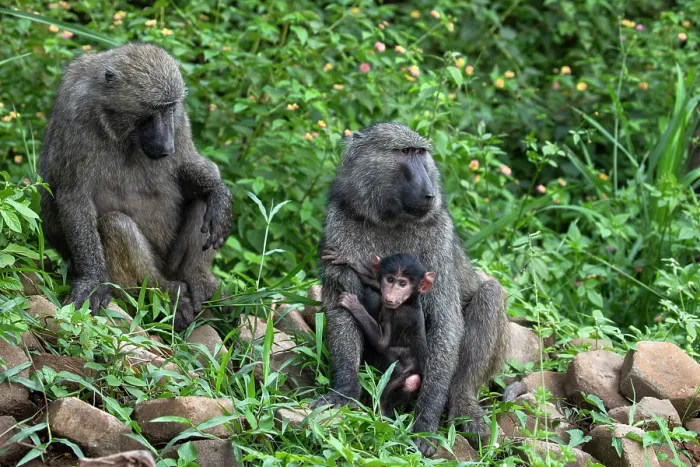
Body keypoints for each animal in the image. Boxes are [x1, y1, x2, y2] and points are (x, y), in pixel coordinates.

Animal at [38, 43, 232, 332]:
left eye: (170, 108)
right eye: (152, 109)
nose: (166, 146)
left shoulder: (180, 120)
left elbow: (186, 166)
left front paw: (219, 193)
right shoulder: (76, 113)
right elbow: (74, 197)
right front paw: (93, 281)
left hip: (172, 263)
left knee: (201, 203)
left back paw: (199, 280)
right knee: (115, 224)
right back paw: (165, 293)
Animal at [328, 251, 434, 417]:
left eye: (402, 284)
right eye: (390, 280)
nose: (390, 296)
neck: (408, 302)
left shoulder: (396, 315)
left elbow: (382, 344)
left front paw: (354, 305)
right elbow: (377, 285)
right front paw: (350, 262)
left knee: (411, 382)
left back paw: (381, 412)